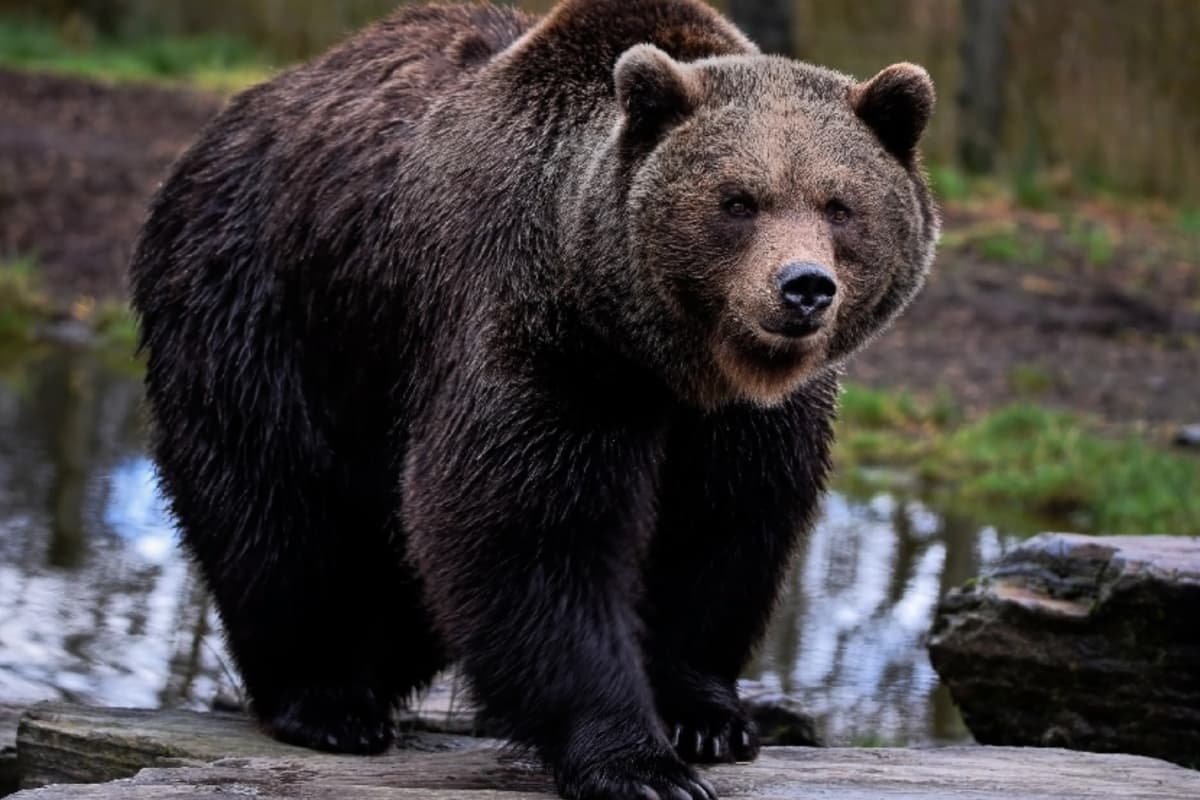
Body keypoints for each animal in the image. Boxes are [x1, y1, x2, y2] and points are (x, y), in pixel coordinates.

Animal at [129, 1, 938, 798]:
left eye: (839, 205)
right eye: (738, 201)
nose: (803, 287)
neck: (665, 358)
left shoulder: (745, 420)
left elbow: (724, 530)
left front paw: (708, 719)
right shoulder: (546, 344)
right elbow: (532, 532)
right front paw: (637, 764)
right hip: (269, 303)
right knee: (274, 503)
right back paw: (329, 702)